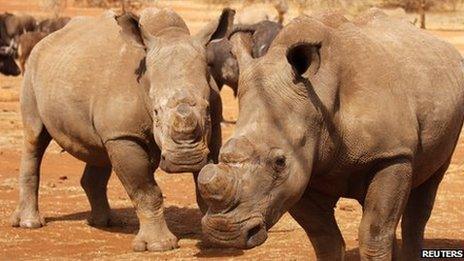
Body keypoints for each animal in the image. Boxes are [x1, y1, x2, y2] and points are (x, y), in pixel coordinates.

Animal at [11, 8, 232, 251]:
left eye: (207, 110)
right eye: (156, 112)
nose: (186, 159)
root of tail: (45, 40)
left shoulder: (213, 130)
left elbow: (206, 183)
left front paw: (215, 238)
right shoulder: (123, 136)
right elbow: (145, 191)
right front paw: (159, 246)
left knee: (97, 151)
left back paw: (105, 223)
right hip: (33, 71)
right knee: (35, 138)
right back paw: (30, 223)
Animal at [197, 9, 464, 258]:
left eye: (280, 162)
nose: (224, 232)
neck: (319, 96)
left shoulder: (393, 154)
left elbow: (375, 233)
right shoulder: (302, 169)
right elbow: (325, 239)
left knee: (426, 190)